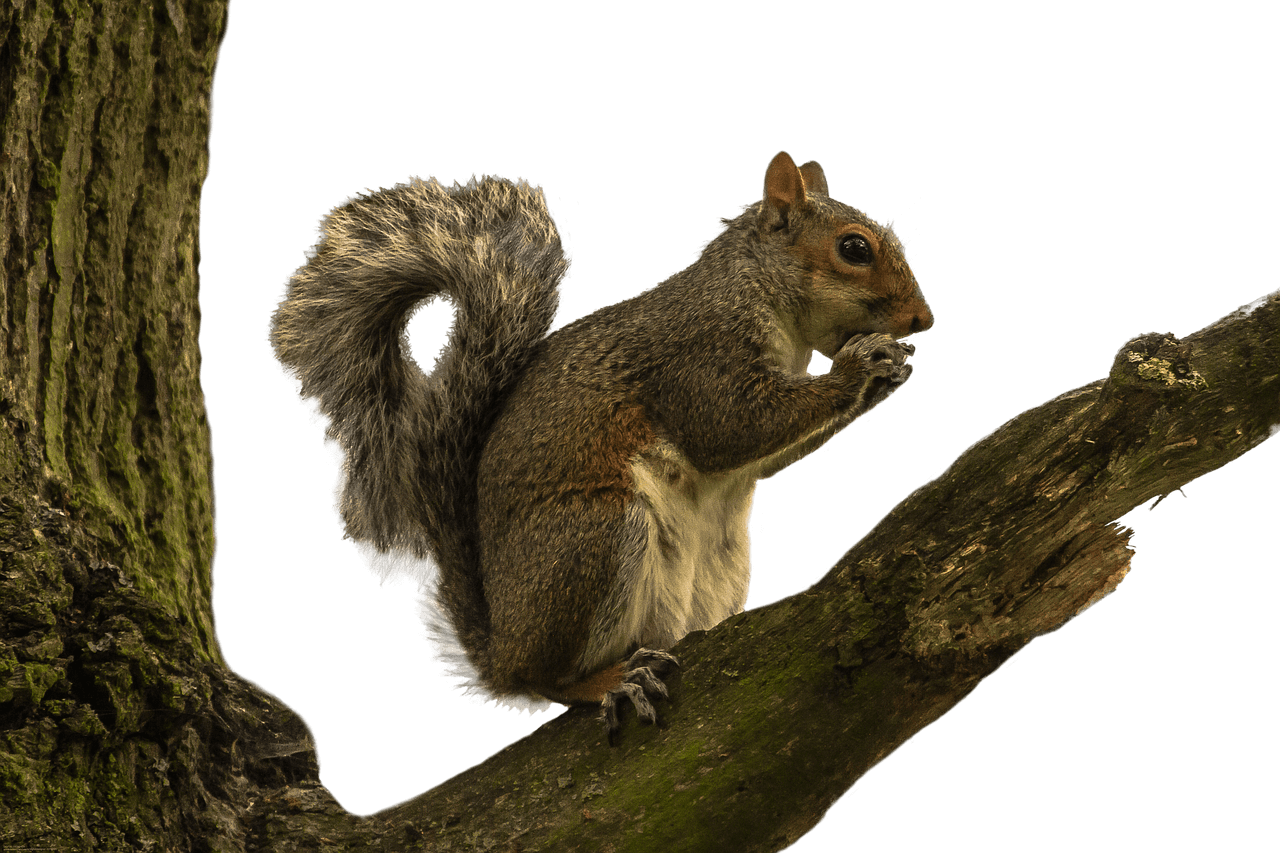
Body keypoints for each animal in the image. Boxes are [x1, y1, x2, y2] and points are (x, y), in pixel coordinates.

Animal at [267, 151, 933, 731]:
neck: (757, 290)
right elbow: (729, 428)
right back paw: (608, 680)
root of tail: (502, 645)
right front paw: (858, 367)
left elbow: (766, 455)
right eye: (854, 248)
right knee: (547, 679)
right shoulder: (698, 356)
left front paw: (889, 370)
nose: (923, 320)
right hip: (594, 536)